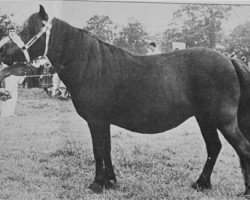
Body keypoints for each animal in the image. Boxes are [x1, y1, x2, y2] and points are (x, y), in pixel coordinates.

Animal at [1, 5, 250, 197]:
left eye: (27, 30)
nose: (3, 50)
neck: (90, 65)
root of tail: (229, 59)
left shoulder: (96, 121)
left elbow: (98, 150)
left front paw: (97, 184)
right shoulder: (104, 122)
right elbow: (107, 149)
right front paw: (111, 181)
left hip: (222, 120)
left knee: (242, 148)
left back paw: (243, 190)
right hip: (205, 118)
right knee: (214, 147)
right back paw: (201, 184)